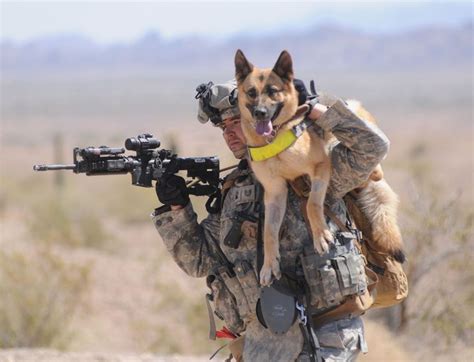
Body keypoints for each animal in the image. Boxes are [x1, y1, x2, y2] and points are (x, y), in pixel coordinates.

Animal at [233, 49, 404, 286]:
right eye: (251, 92)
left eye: (273, 91)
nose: (260, 112)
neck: (274, 139)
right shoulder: (275, 192)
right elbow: (268, 232)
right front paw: (269, 264)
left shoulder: (321, 166)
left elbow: (312, 204)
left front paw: (320, 234)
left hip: (352, 113)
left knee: (374, 169)